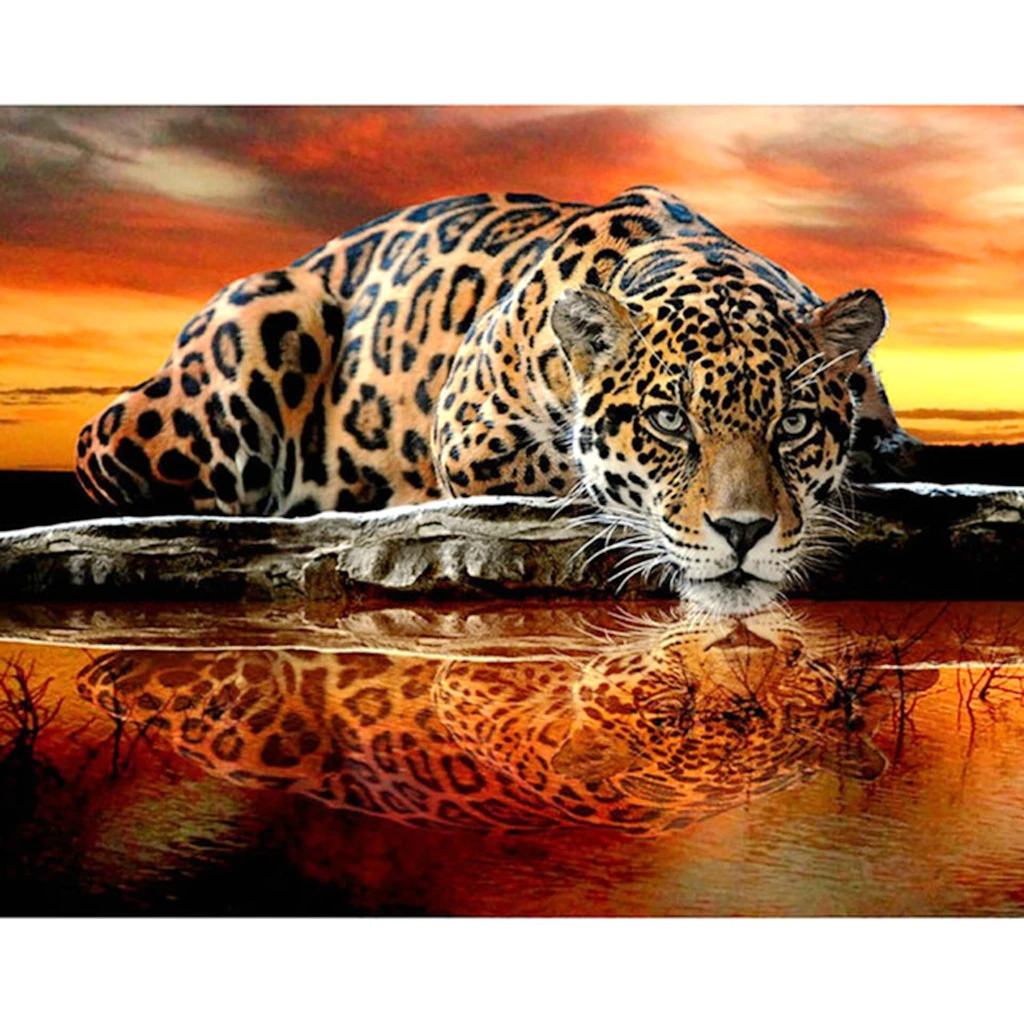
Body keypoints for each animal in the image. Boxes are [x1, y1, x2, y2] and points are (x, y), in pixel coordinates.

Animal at [75, 185, 919, 613]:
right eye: (668, 422)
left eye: (794, 424)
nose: (743, 532)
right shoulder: (470, 433)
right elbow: (575, 473)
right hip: (257, 328)